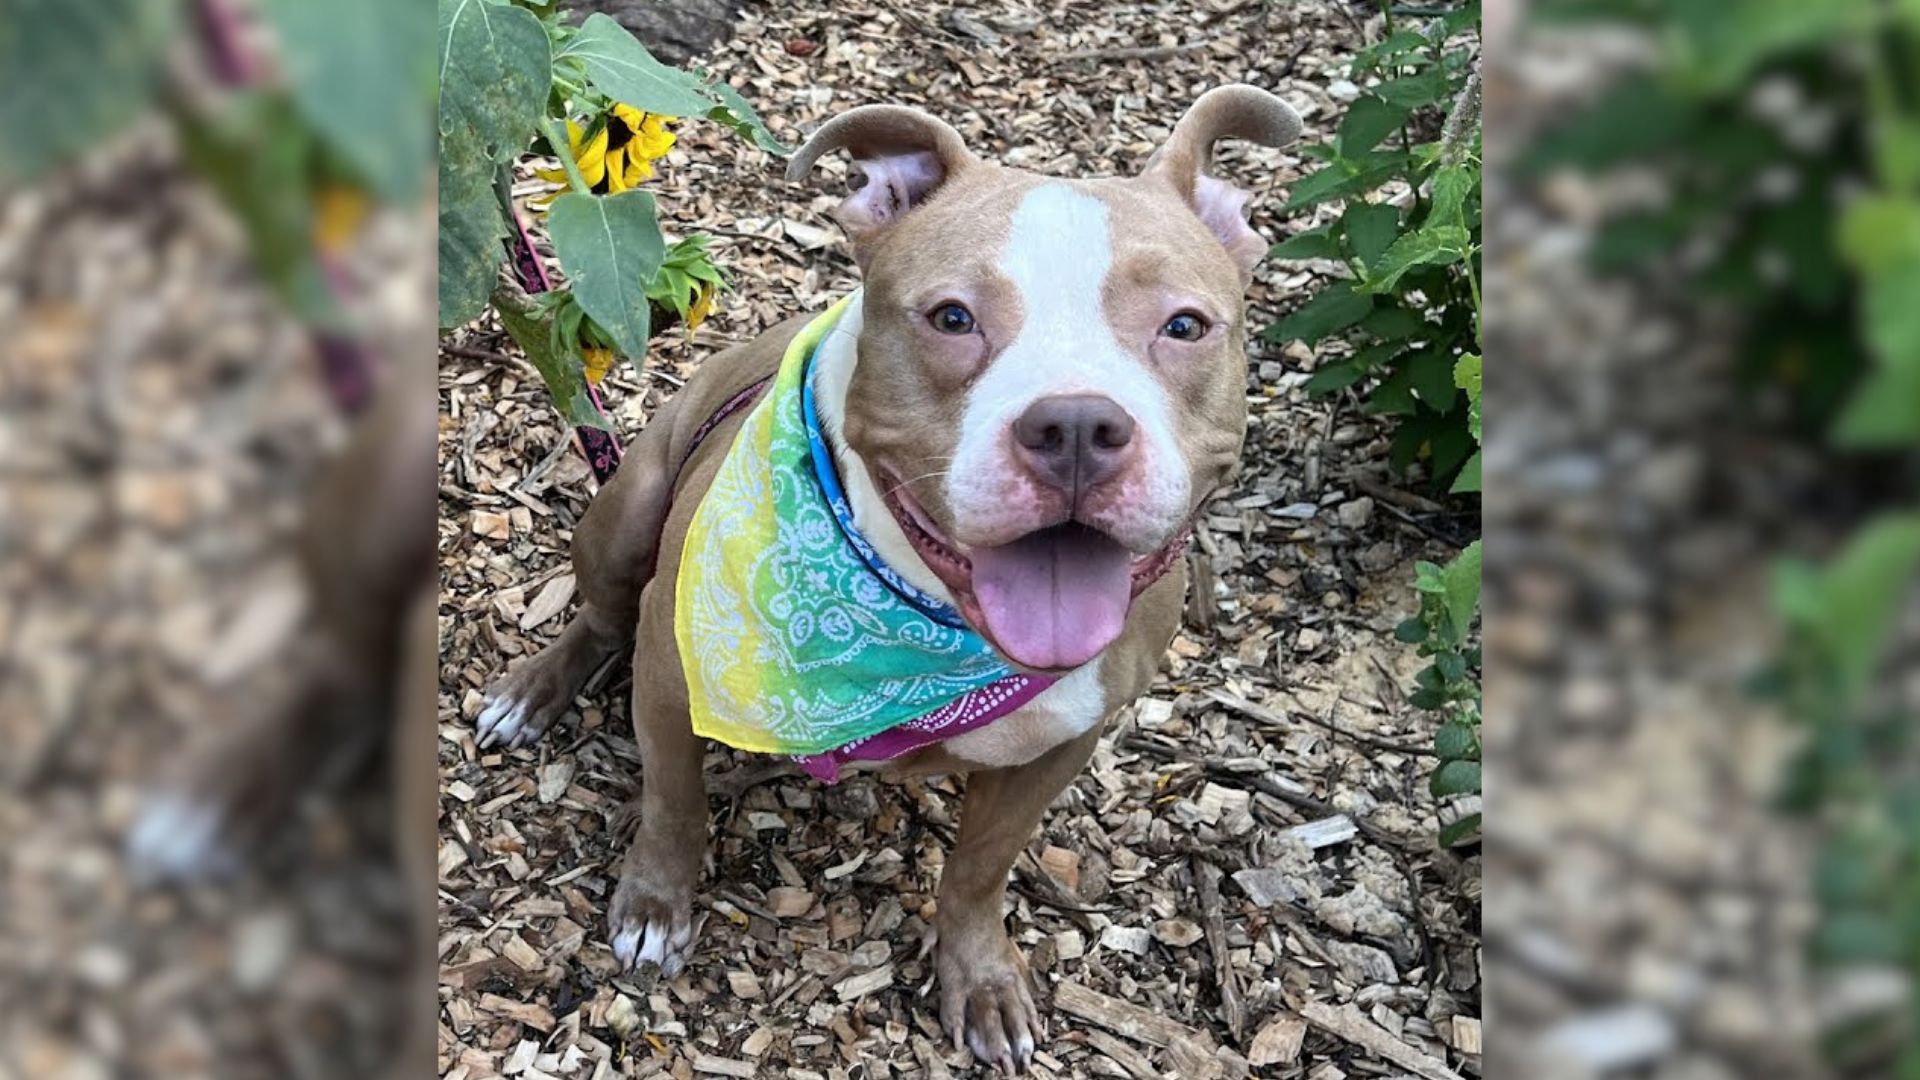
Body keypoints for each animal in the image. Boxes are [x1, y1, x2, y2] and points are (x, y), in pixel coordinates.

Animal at [480, 84, 1305, 1068]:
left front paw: (981, 979)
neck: (927, 628)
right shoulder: (671, 677)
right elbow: (673, 800)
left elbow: (980, 868)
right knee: (600, 617)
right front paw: (654, 904)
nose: (1075, 425)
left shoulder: (1062, 745)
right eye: (951, 316)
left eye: (1184, 326)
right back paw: (528, 693)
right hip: (627, 512)